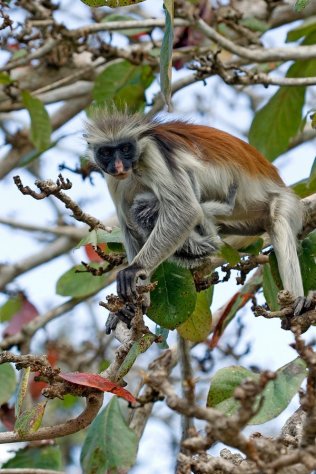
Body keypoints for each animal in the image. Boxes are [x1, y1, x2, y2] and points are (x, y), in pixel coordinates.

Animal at [85, 108, 304, 330]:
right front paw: (133, 304)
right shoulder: (113, 178)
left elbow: (186, 210)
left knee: (278, 223)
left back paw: (299, 302)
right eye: (106, 152)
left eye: (125, 148)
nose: (119, 165)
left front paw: (135, 269)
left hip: (283, 201)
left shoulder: (154, 153)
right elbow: (129, 228)